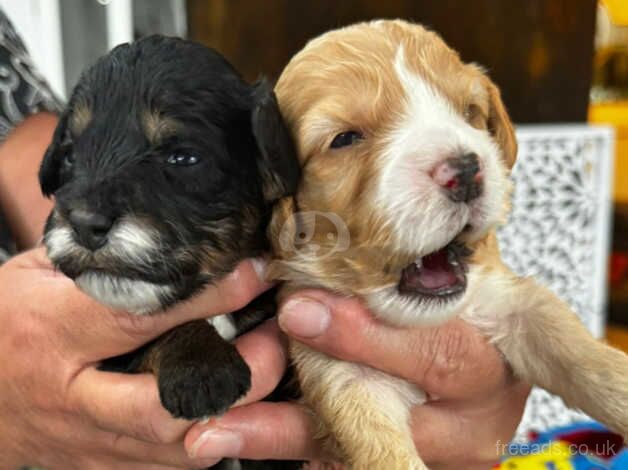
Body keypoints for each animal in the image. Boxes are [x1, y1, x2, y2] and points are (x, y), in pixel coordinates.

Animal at [272, 19, 628, 470]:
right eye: (345, 139)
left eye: (469, 112)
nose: (465, 169)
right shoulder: (344, 375)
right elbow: (383, 451)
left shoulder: (507, 302)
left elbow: (579, 350)